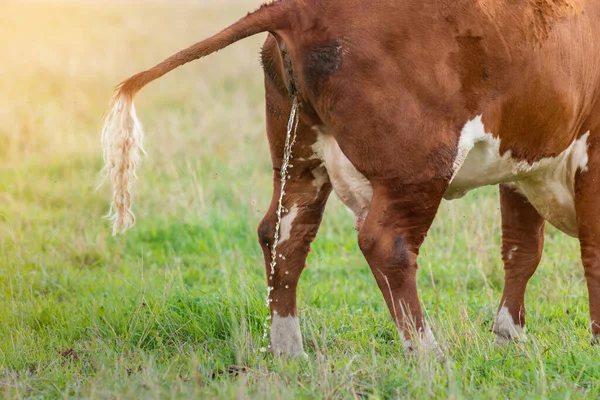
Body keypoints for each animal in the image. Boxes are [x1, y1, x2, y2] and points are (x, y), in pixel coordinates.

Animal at [101, 0, 600, 356]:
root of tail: (299, 7)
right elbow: (589, 251)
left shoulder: (524, 160)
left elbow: (522, 251)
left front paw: (509, 338)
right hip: (418, 164)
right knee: (386, 244)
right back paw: (428, 354)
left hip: (299, 155)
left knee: (282, 235)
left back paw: (289, 351)